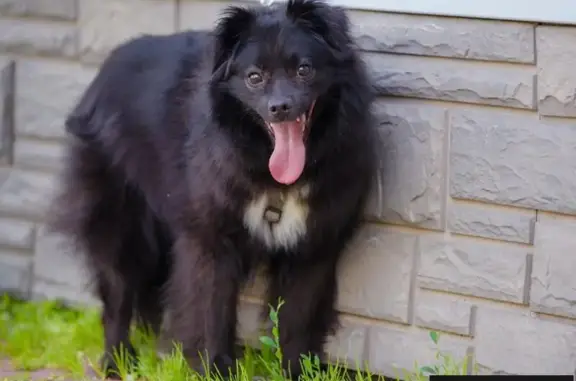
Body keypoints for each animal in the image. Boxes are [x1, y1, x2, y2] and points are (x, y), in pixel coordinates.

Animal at [48, 0, 378, 378]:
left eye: (304, 70)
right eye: (254, 77)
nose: (280, 108)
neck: (269, 169)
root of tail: (101, 74)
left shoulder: (315, 236)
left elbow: (299, 314)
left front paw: (297, 371)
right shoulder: (210, 231)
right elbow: (209, 307)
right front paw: (214, 369)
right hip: (117, 207)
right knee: (117, 286)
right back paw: (119, 362)